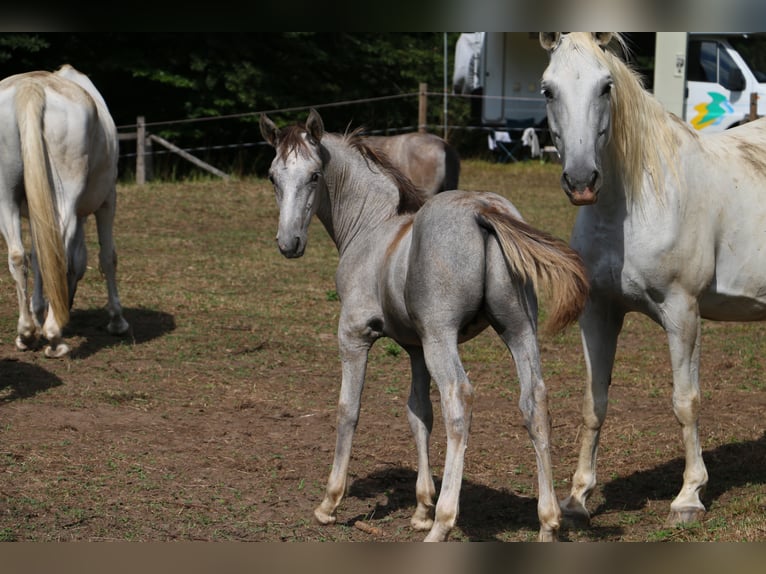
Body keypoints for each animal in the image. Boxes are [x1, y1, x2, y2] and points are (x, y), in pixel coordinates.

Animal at [0, 65, 129, 358]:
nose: (68, 302)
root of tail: (31, 86)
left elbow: (38, 257)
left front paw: (37, 314)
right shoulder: (108, 201)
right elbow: (108, 257)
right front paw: (117, 320)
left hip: (5, 197)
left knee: (17, 255)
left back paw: (26, 333)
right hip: (66, 199)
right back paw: (54, 337)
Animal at [260, 109, 592, 544]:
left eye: (315, 175)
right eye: (273, 176)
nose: (289, 243)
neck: (372, 226)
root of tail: (482, 210)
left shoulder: (354, 335)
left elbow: (349, 409)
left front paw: (329, 503)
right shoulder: (414, 347)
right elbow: (419, 414)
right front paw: (420, 508)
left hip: (443, 339)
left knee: (459, 400)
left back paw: (444, 524)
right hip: (518, 331)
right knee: (534, 400)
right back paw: (548, 522)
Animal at [540, 30, 766, 528]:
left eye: (606, 86)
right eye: (548, 89)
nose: (582, 180)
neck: (636, 202)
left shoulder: (682, 312)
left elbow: (686, 401)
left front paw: (689, 497)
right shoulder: (599, 313)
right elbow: (593, 403)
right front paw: (577, 497)